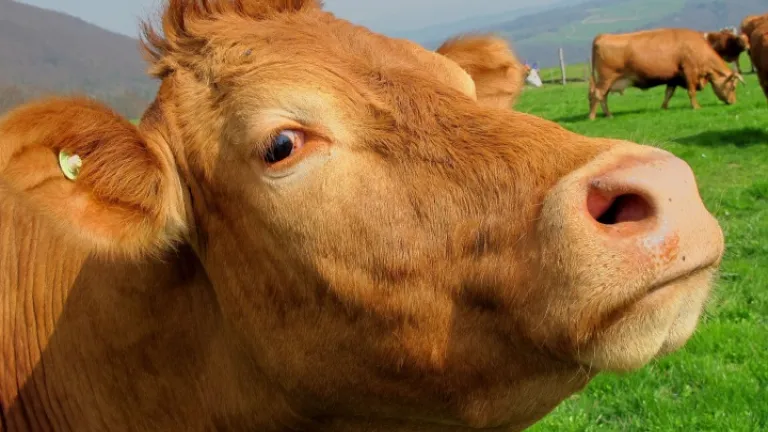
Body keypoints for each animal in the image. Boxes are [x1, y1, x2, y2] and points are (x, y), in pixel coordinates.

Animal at [588, 28, 745, 120]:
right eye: (733, 87)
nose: (733, 102)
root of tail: (602, 36)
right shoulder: (689, 72)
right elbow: (691, 92)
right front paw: (696, 107)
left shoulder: (673, 78)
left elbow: (668, 93)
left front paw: (663, 108)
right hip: (606, 78)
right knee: (598, 94)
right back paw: (596, 116)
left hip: (608, 81)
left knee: (602, 96)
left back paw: (606, 115)